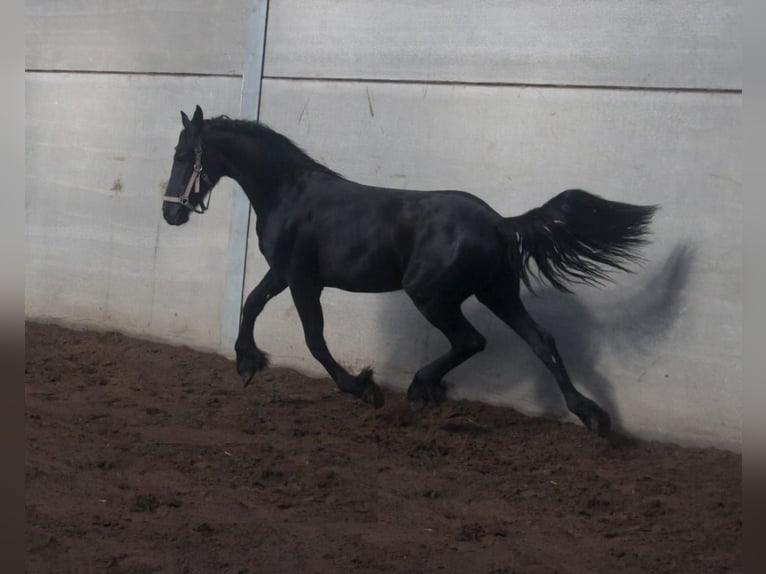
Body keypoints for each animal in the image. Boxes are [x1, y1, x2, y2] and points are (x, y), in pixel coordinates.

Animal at [162, 105, 657, 437]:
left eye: (184, 155)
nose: (170, 213)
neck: (289, 193)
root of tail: (499, 222)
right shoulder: (283, 274)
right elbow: (250, 304)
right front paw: (248, 362)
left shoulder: (304, 281)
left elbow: (314, 340)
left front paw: (363, 387)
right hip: (498, 293)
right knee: (542, 342)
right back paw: (591, 415)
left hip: (431, 295)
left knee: (471, 340)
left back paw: (421, 388)